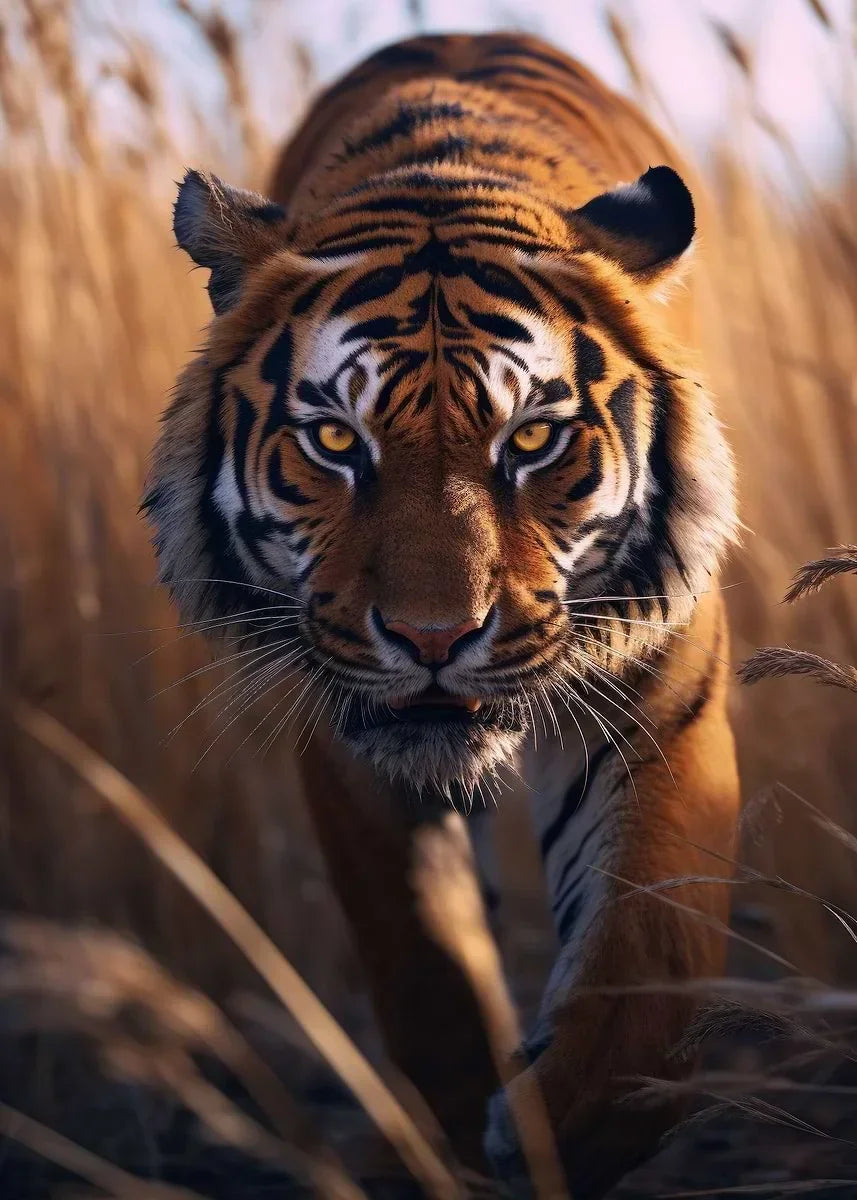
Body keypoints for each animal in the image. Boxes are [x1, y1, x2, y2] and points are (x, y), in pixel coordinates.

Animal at [145, 32, 741, 1197]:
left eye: (531, 440)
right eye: (336, 441)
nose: (431, 639)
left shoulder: (657, 697)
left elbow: (654, 949)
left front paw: (565, 1124)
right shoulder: (343, 742)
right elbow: (424, 969)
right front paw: (475, 1134)